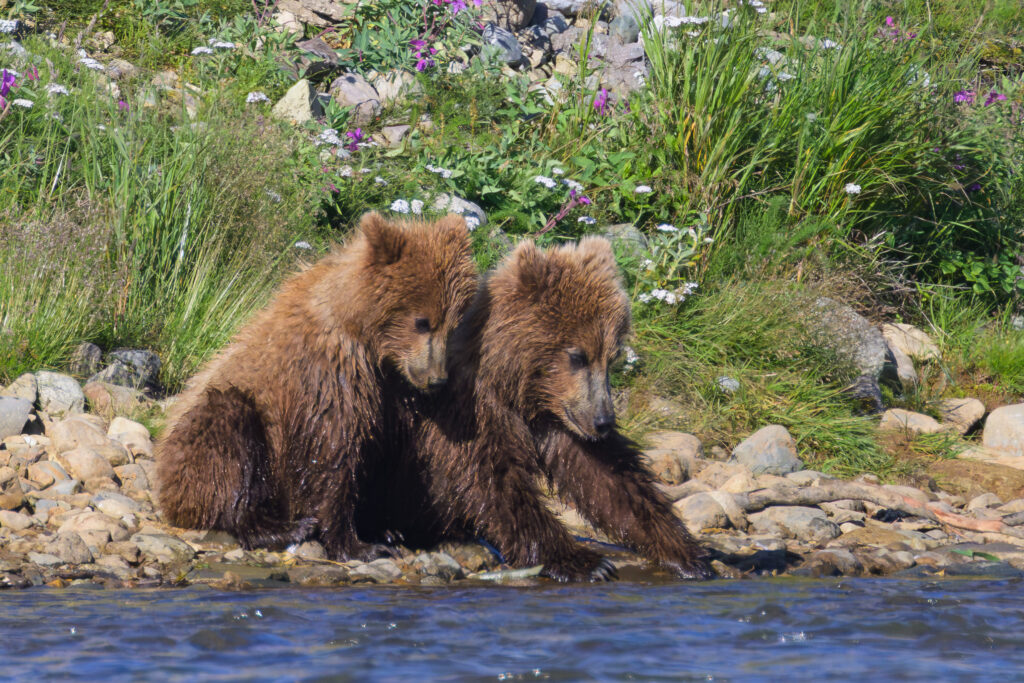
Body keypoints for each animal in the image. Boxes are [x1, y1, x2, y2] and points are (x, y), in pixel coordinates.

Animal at [155, 211, 479, 561]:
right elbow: (332, 452)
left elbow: (386, 452)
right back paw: (281, 528)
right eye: (422, 322)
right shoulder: (329, 373)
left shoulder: (391, 392)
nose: (437, 379)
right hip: (205, 438)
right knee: (228, 441)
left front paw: (386, 529)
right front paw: (357, 544)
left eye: (453, 322)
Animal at [358, 237, 711, 581]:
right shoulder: (470, 413)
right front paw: (585, 562)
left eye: (611, 357)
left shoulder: (559, 421)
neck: (521, 392)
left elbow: (609, 479)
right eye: (577, 356)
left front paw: (689, 552)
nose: (604, 421)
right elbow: (496, 483)